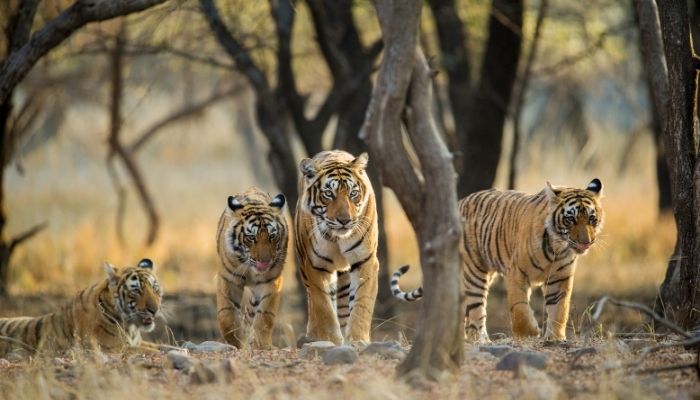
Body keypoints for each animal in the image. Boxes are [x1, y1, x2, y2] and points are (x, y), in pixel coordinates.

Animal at [0, 258, 163, 356]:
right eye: (136, 290)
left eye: (155, 288)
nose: (154, 310)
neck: (131, 327)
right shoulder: (113, 347)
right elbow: (153, 351)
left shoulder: (137, 342)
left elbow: (161, 346)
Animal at [216, 187, 288, 349]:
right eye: (251, 237)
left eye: (272, 236)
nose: (264, 261)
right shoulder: (228, 278)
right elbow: (227, 316)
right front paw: (236, 343)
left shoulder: (271, 281)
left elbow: (264, 316)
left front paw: (260, 344)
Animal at [295, 150, 379, 345]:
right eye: (328, 194)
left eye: (353, 193)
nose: (345, 220)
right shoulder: (315, 266)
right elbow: (323, 306)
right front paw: (328, 339)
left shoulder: (365, 261)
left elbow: (362, 303)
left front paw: (357, 340)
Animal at [391, 179, 604, 342]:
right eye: (571, 219)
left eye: (591, 219)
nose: (586, 242)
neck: (557, 248)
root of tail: (459, 202)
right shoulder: (517, 273)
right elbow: (519, 307)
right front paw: (529, 333)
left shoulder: (560, 278)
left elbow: (559, 309)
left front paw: (555, 337)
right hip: (474, 271)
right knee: (476, 310)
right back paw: (481, 340)